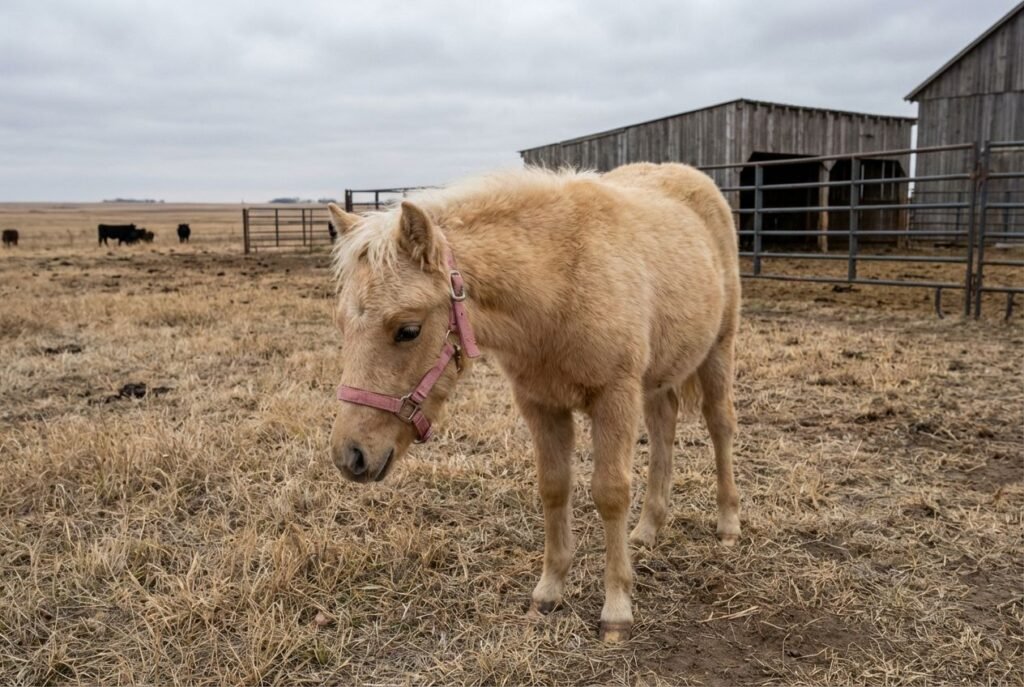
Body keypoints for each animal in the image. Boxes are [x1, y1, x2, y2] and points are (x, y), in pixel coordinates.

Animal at [327, 162, 742, 643]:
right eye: (341, 325)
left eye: (408, 330)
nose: (350, 456)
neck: (561, 283)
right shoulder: (540, 404)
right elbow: (554, 487)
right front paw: (548, 592)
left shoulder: (614, 397)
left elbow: (610, 493)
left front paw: (616, 610)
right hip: (657, 376)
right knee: (664, 428)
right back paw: (648, 528)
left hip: (718, 351)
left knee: (720, 425)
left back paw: (728, 524)